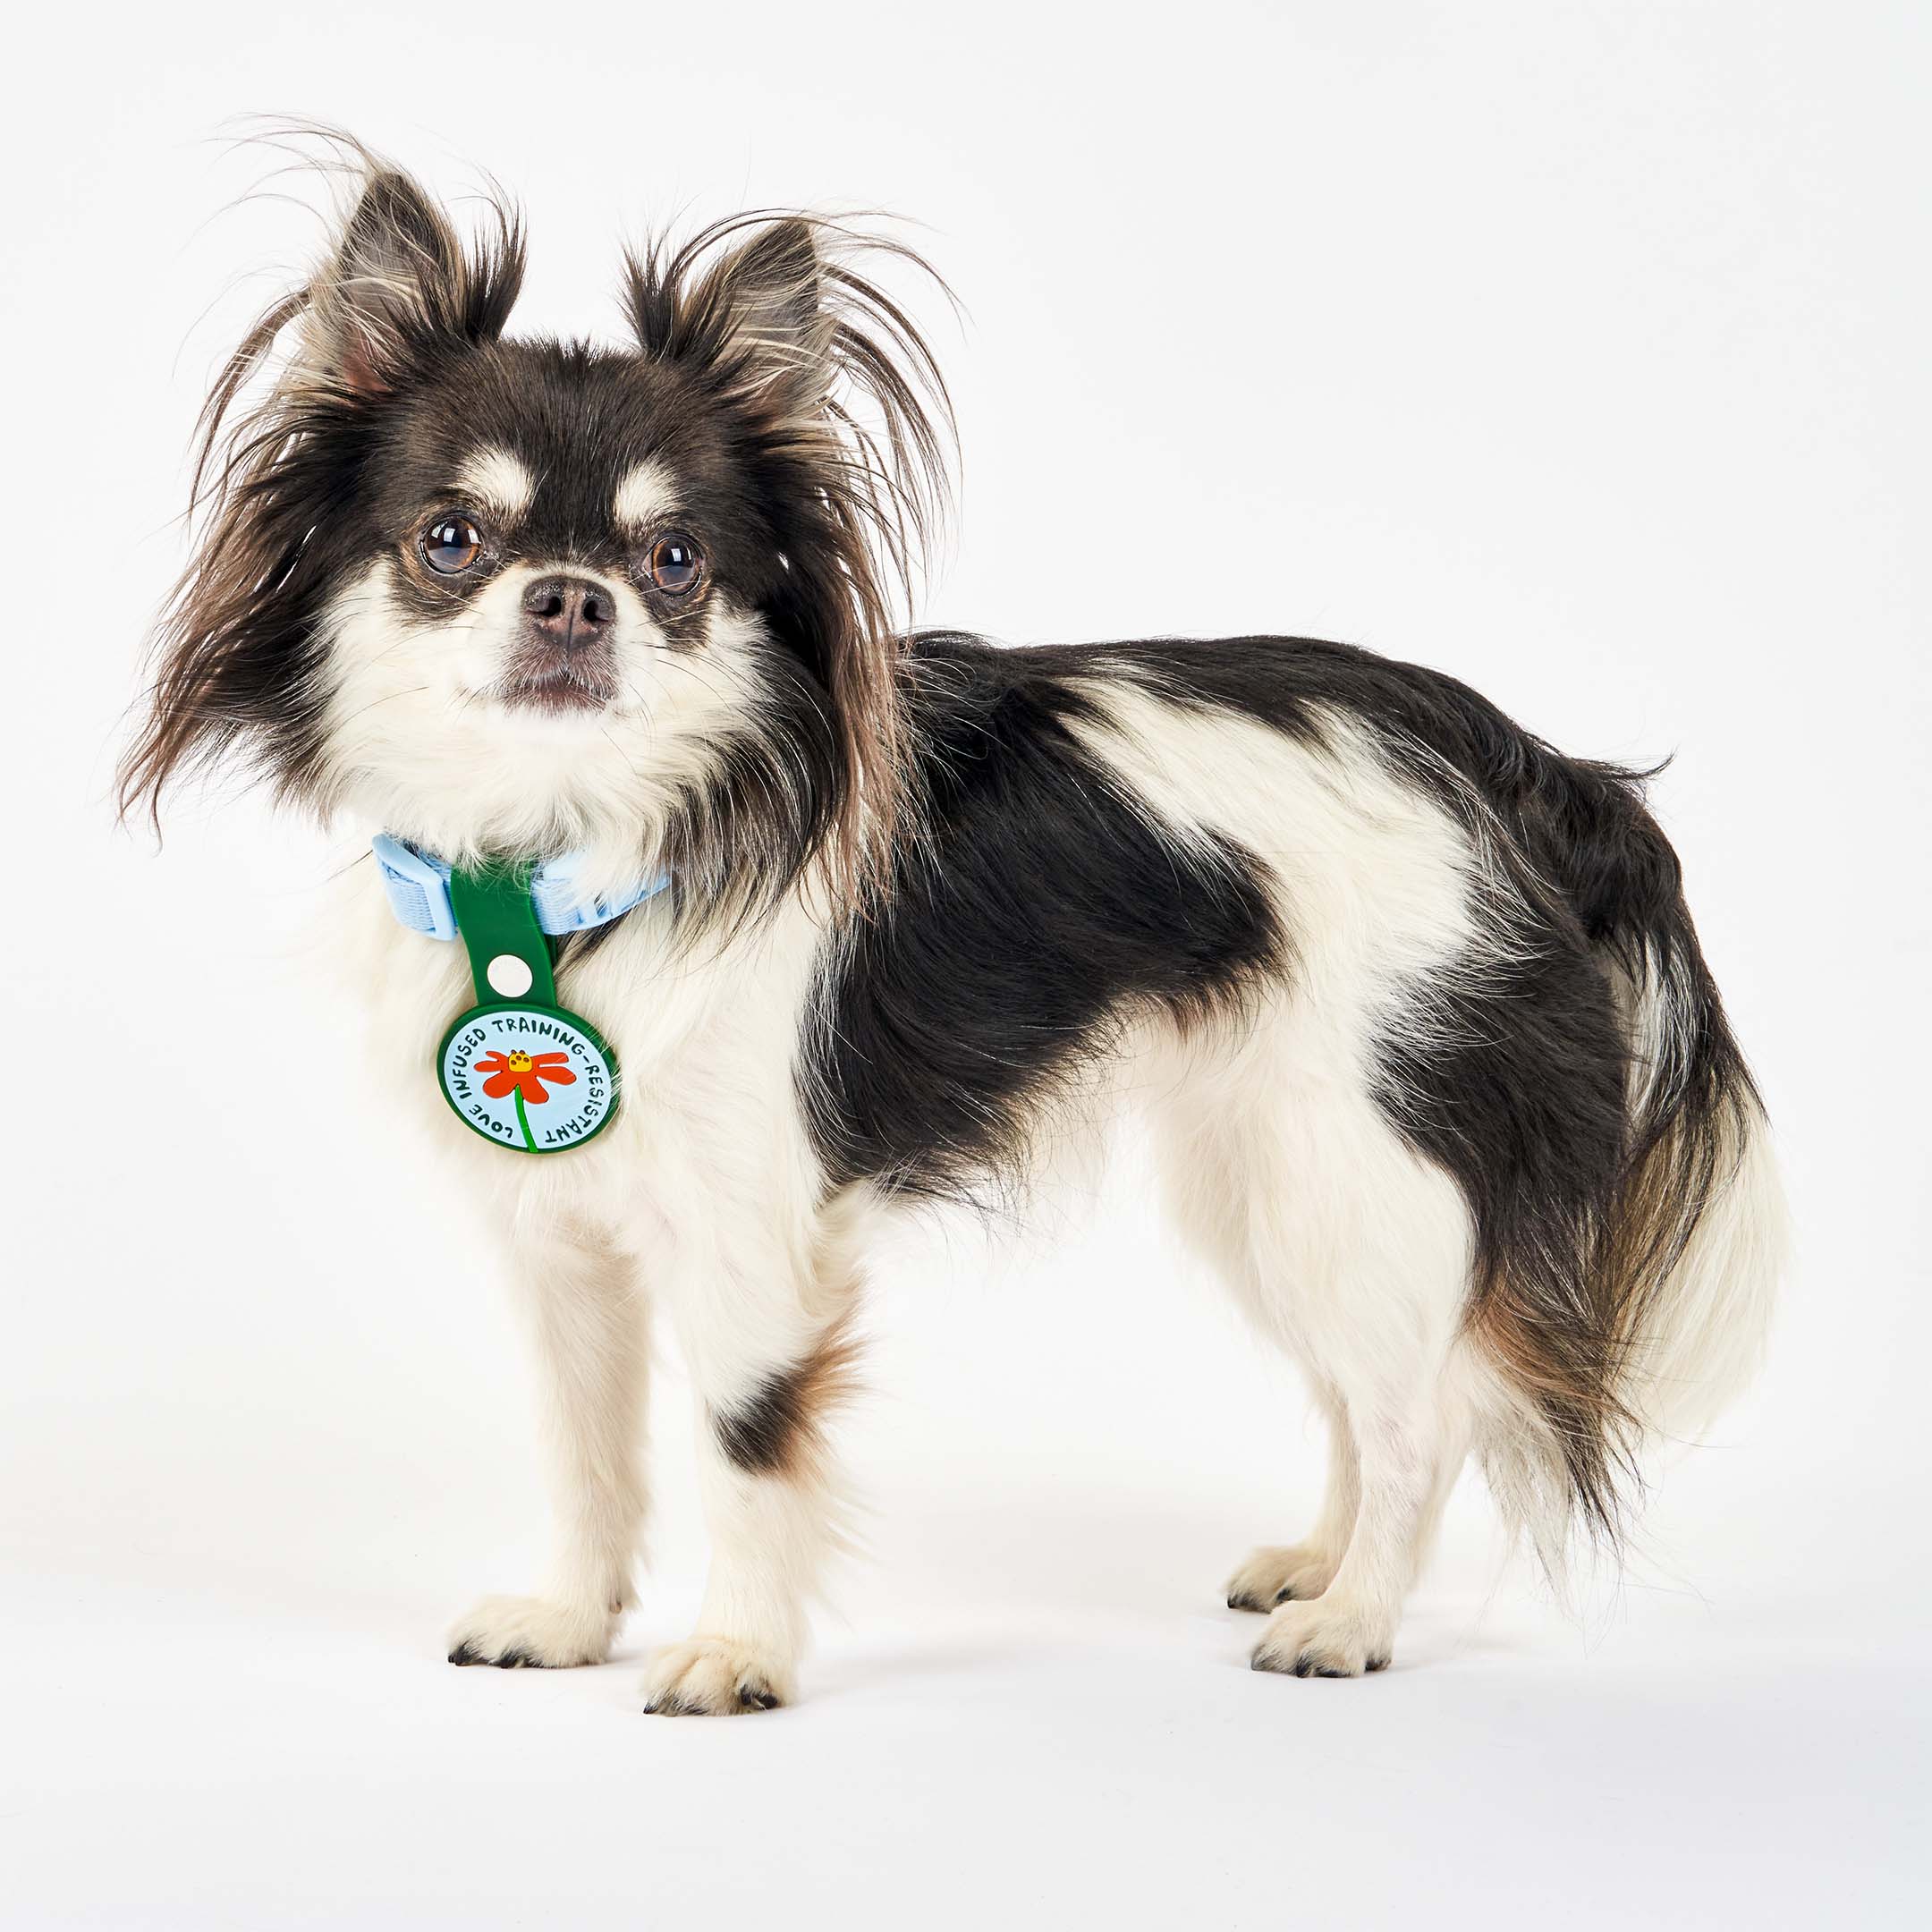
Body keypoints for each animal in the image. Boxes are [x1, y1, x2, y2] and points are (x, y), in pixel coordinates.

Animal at [121, 154, 1777, 1723]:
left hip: (1352, 1162)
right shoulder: (563, 1244)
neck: (583, 856)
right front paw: (570, 1620)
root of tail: (1530, 768)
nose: (575, 600)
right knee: (1367, 1395)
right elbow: (589, 1449)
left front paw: (736, 1655)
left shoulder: (752, 1238)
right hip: (1261, 1173)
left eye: (677, 565)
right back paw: (1318, 1562)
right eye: (451, 540)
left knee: (1421, 1412)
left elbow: (739, 1445)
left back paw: (1355, 1619)